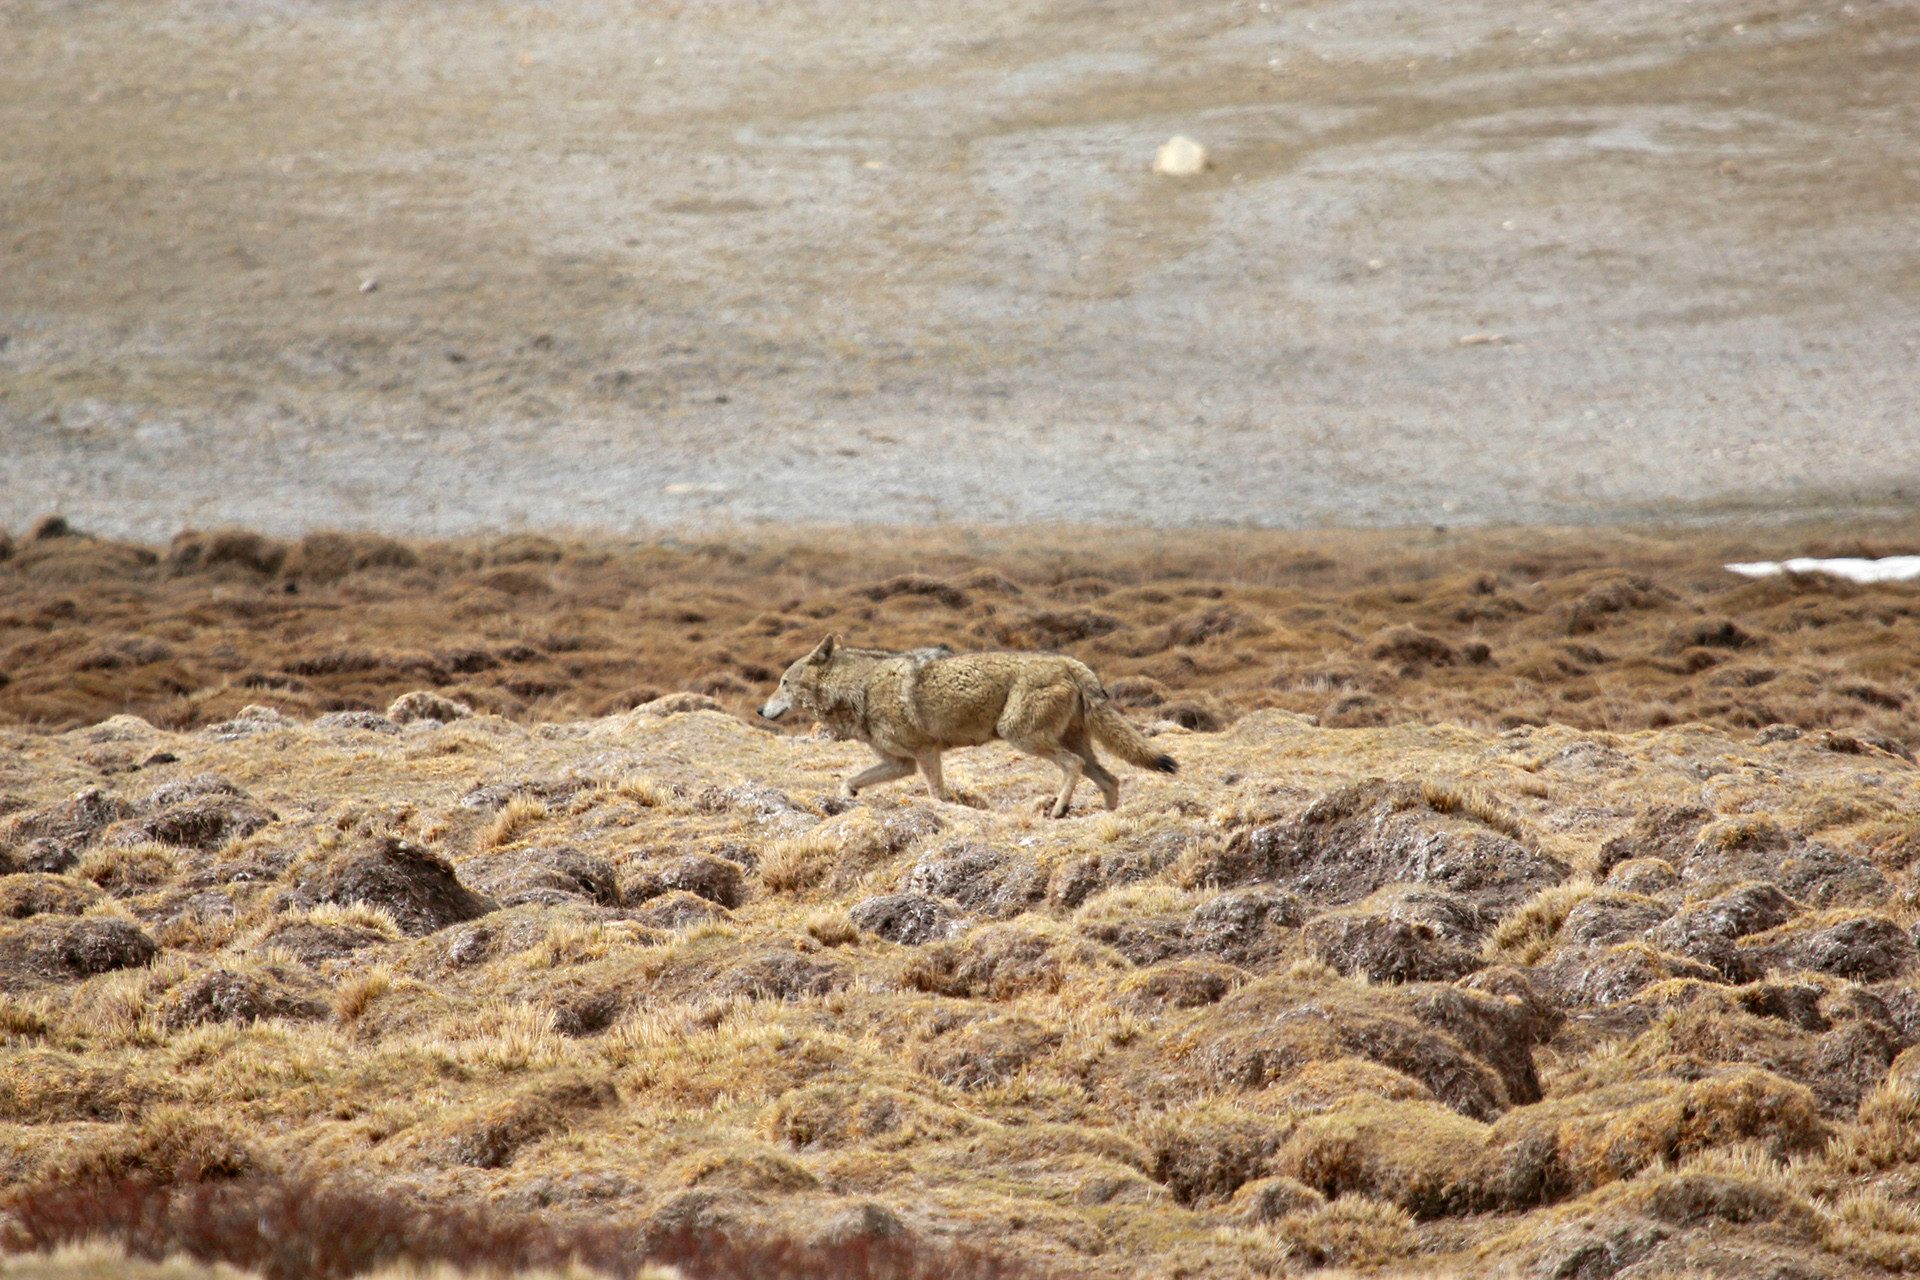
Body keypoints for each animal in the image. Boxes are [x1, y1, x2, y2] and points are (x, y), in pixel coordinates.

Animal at [758, 635, 1177, 817]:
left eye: (783, 682)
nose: (761, 710)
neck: (859, 688)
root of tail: (1071, 662)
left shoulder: (925, 753)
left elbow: (938, 796)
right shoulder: (900, 763)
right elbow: (849, 781)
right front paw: (848, 799)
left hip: (1020, 736)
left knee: (1073, 766)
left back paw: (1058, 810)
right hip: (1073, 745)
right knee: (1111, 779)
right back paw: (1108, 819)